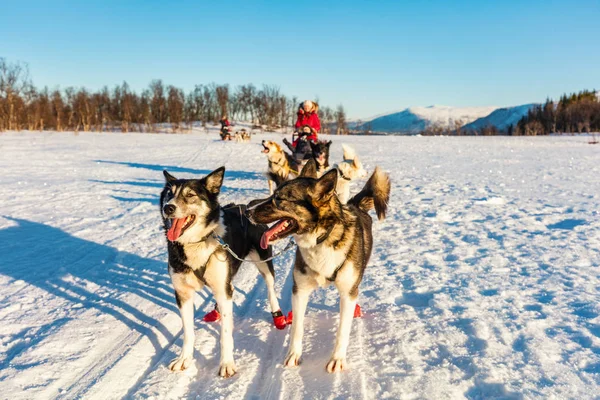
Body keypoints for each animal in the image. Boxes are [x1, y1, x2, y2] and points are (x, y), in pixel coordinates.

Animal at [161, 166, 288, 378]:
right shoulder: (183, 294)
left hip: (263, 262)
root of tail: (247, 206)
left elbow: (225, 335)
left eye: (190, 195)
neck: (196, 243)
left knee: (270, 287)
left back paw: (277, 314)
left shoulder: (222, 289)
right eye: (169, 194)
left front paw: (227, 363)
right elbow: (188, 332)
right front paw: (184, 359)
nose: (168, 208)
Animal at [246, 164, 392, 374]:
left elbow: (342, 330)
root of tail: (355, 205)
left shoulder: (347, 293)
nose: (247, 210)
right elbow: (297, 327)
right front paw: (294, 355)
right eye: (273, 193)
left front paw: (337, 359)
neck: (321, 239)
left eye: (279, 199)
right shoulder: (300, 290)